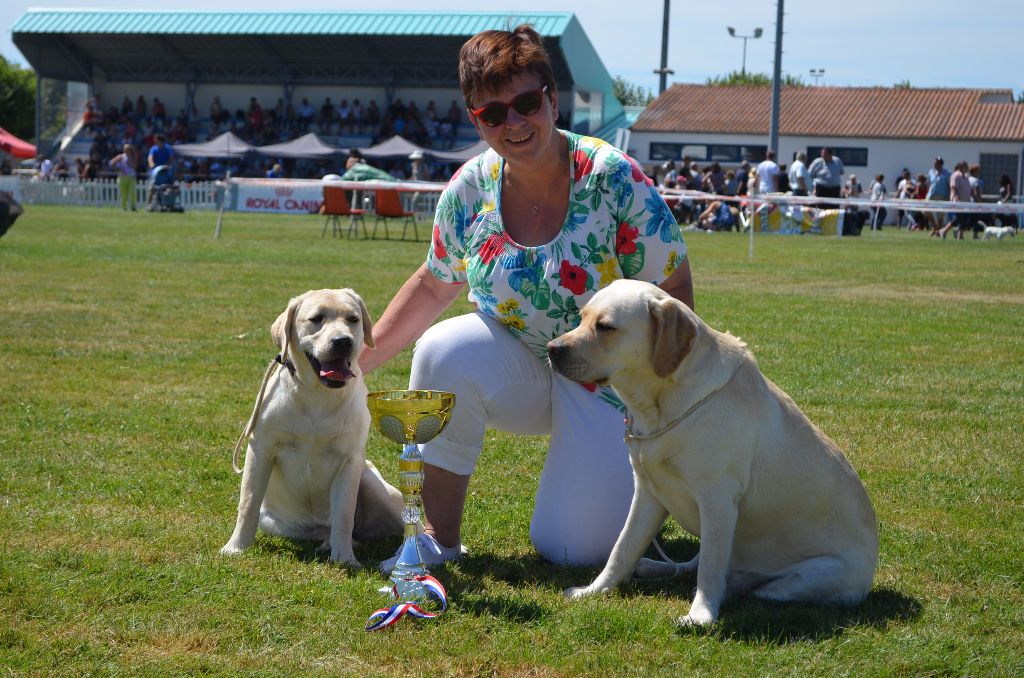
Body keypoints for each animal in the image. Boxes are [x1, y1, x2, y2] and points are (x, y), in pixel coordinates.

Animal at [222, 288, 401, 565]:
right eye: (316, 319)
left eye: (353, 319)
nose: (343, 341)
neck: (318, 394)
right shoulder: (261, 450)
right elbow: (248, 503)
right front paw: (236, 546)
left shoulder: (350, 460)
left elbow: (343, 515)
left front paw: (345, 559)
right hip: (273, 520)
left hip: (377, 486)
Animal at [548, 280, 876, 626]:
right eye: (582, 317)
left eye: (605, 327)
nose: (552, 349)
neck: (662, 405)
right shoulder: (647, 493)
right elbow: (622, 548)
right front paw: (594, 590)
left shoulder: (717, 499)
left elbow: (710, 568)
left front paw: (700, 615)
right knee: (693, 563)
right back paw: (657, 566)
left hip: (817, 574)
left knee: (755, 583)